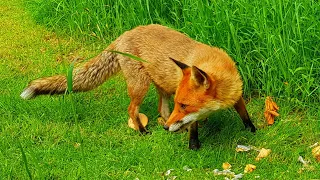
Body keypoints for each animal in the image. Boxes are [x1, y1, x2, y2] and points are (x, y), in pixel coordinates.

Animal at [20, 24, 255, 149]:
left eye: (184, 106)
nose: (166, 129)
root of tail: (125, 34)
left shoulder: (236, 95)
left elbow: (244, 114)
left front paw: (252, 130)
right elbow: (193, 127)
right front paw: (194, 146)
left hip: (160, 85)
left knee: (161, 110)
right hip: (140, 86)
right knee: (132, 109)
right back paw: (143, 131)